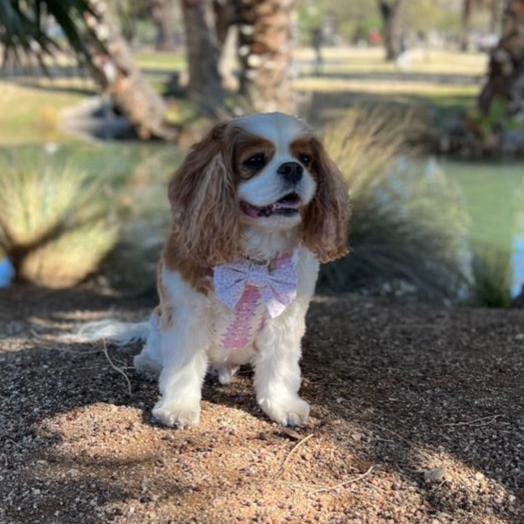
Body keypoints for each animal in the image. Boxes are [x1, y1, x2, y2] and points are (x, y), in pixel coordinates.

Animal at [84, 112, 350, 428]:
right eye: (255, 160)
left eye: (306, 159)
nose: (293, 168)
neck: (254, 261)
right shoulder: (187, 315)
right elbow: (183, 369)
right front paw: (178, 408)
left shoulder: (284, 318)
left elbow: (279, 366)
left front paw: (282, 405)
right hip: (161, 322)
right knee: (154, 348)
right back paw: (149, 363)